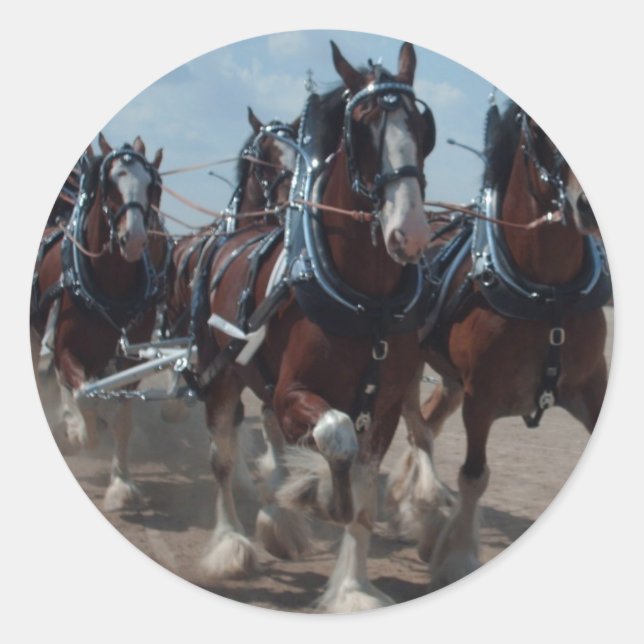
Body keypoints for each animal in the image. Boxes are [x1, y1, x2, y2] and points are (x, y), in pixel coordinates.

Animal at [31, 134, 169, 511]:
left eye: (153, 186)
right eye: (110, 184)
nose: (135, 239)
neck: (110, 287)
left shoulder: (128, 362)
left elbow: (122, 419)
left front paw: (121, 482)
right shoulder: (65, 351)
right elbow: (84, 398)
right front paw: (76, 433)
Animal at [193, 41, 436, 612]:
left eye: (422, 126)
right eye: (363, 127)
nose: (412, 232)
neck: (369, 304)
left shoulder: (384, 406)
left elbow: (363, 493)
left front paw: (353, 588)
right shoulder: (292, 392)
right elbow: (334, 434)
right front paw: (319, 494)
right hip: (220, 378)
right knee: (222, 460)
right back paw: (231, 544)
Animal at [387, 100, 611, 589]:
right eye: (537, 131)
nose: (586, 208)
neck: (548, 296)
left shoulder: (590, 387)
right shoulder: (481, 398)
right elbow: (474, 477)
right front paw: (454, 557)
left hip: (448, 377)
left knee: (428, 420)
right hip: (409, 362)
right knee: (416, 425)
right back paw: (425, 507)